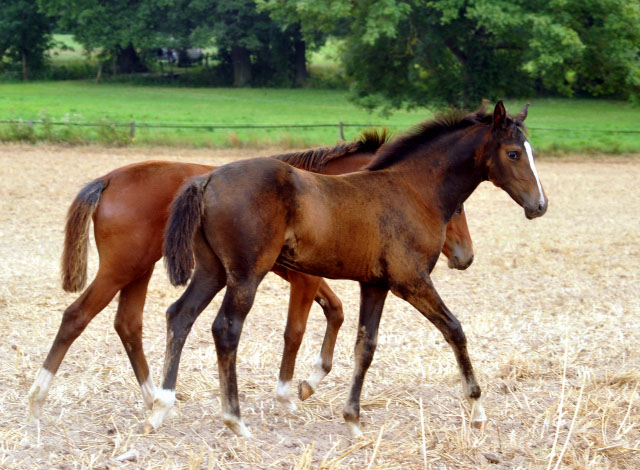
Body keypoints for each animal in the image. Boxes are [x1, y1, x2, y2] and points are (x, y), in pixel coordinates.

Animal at [26, 129, 476, 422]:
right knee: (77, 316)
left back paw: (157, 397)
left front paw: (309, 382)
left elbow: (335, 312)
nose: (464, 256)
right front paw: (289, 395)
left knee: (129, 324)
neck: (329, 192)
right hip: (123, 268)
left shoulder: (305, 276)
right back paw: (39, 397)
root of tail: (107, 179)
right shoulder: (303, 279)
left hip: (139, 270)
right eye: (454, 207)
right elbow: (297, 330)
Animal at [159, 102, 544, 436]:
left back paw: (160, 406)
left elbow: (365, 346)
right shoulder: (411, 280)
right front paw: (477, 408)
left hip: (212, 271)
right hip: (246, 275)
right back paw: (234, 419)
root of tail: (207, 180)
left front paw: (353, 420)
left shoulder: (375, 284)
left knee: (180, 314)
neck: (413, 190)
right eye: (513, 153)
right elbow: (455, 329)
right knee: (225, 329)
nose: (539, 206)